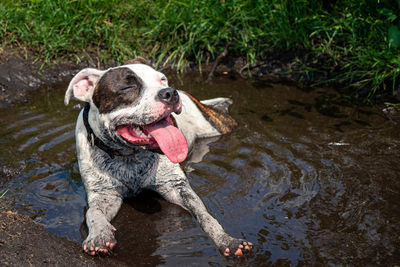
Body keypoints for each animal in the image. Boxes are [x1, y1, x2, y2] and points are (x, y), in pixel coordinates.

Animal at [65, 58, 253, 258]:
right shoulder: (103, 194)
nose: (170, 92)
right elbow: (93, 213)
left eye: (163, 79)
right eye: (128, 86)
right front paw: (99, 235)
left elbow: (204, 213)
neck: (130, 155)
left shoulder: (176, 186)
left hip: (217, 125)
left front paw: (226, 239)